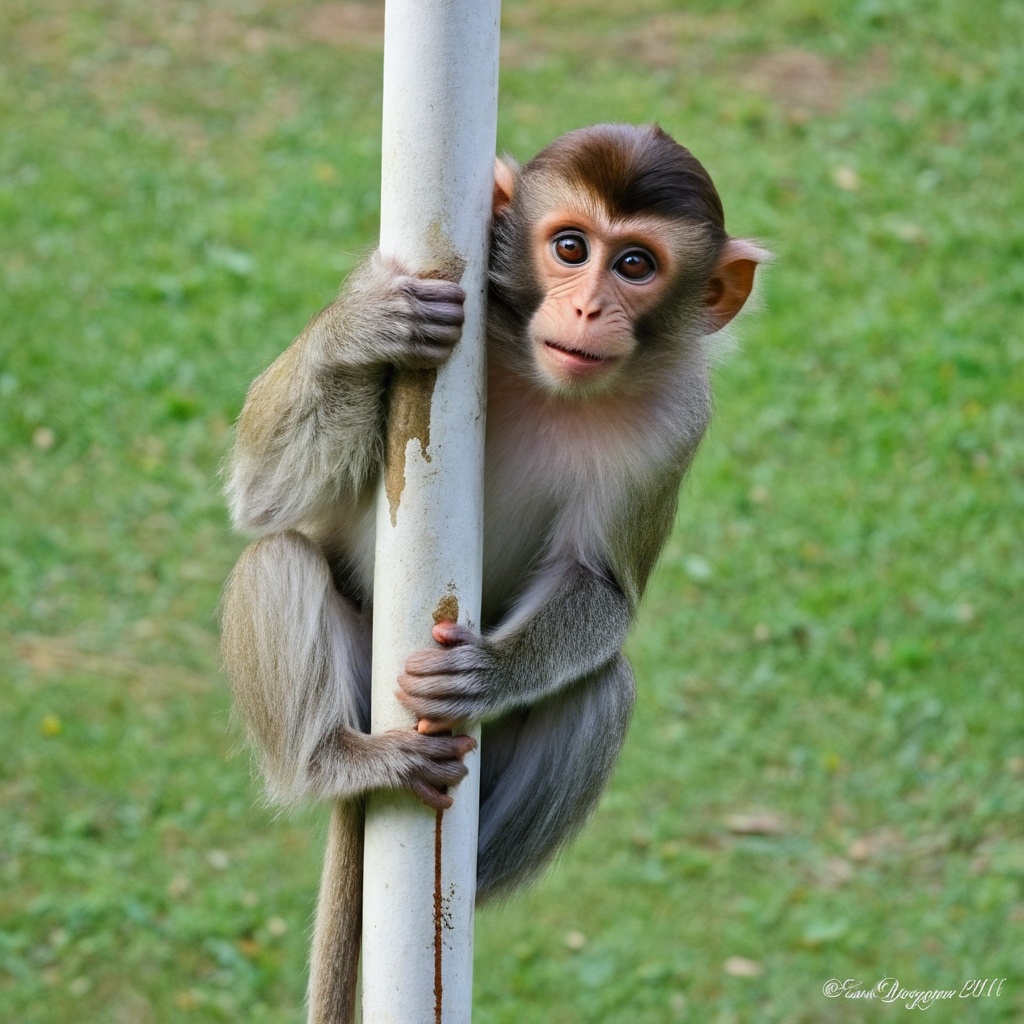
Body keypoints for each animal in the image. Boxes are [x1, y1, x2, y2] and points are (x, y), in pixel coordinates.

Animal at [221, 123, 767, 1023]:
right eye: (570, 247)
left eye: (636, 265)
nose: (586, 309)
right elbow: (263, 497)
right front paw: (359, 327)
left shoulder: (679, 418)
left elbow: (602, 587)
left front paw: (487, 672)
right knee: (278, 555)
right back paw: (337, 763)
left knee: (604, 688)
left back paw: (463, 885)